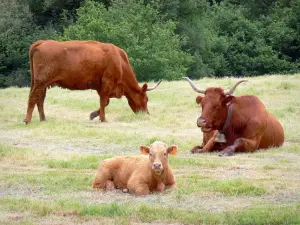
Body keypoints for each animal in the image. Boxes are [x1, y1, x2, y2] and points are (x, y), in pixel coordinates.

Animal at [22, 40, 162, 125]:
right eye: (147, 99)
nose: (147, 114)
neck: (120, 61)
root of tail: (43, 42)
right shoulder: (107, 83)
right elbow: (104, 101)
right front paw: (103, 119)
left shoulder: (101, 86)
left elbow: (105, 102)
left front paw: (94, 115)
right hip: (41, 82)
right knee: (33, 97)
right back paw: (27, 120)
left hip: (41, 83)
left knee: (40, 99)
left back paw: (43, 119)